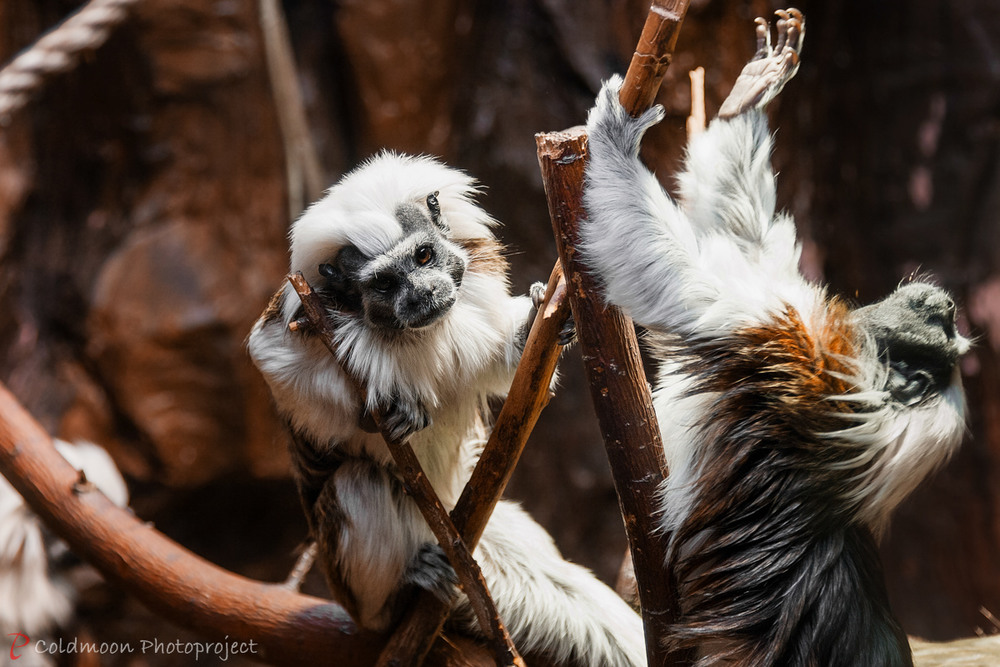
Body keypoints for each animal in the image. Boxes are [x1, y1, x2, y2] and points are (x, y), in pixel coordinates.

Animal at [246, 153, 644, 667]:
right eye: (385, 283)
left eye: (423, 257)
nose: (421, 294)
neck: (415, 333)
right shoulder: (303, 316)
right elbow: (271, 360)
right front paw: (392, 407)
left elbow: (502, 363)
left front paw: (540, 320)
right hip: (352, 579)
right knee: (358, 480)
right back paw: (399, 592)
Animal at [584, 10, 964, 667]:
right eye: (944, 327)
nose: (944, 305)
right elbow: (749, 239)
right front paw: (751, 92)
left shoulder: (797, 360)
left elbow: (686, 284)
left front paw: (613, 137)